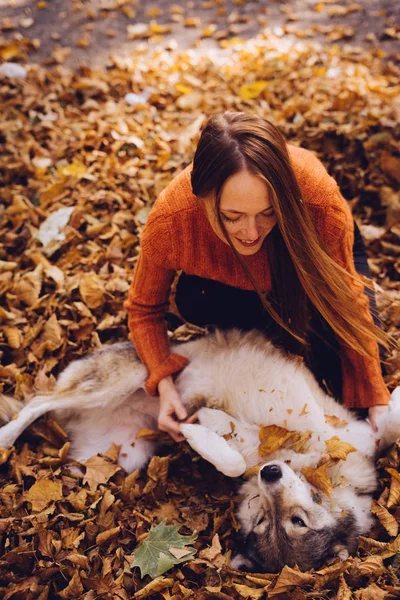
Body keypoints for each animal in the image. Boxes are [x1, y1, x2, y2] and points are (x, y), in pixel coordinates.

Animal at [0, 330, 398, 576]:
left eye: (293, 522)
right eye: (265, 522)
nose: (270, 474)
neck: (324, 473)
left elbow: (232, 460)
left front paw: (196, 432)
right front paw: (196, 429)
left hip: (122, 458)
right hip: (123, 382)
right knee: (39, 401)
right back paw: (7, 436)